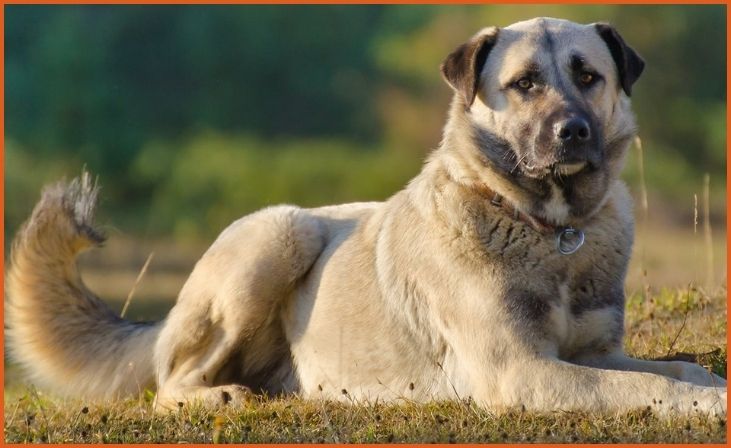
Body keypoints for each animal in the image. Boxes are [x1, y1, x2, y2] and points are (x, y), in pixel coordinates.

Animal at [4, 17, 728, 416]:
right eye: (524, 84)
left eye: (588, 76)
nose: (572, 133)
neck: (549, 229)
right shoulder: (520, 369)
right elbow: (641, 391)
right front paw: (704, 406)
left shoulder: (596, 353)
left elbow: (669, 370)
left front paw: (705, 382)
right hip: (280, 233)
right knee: (167, 384)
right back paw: (217, 397)